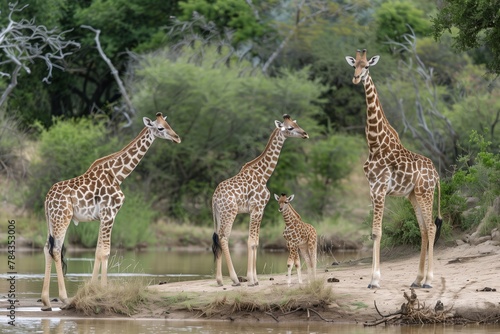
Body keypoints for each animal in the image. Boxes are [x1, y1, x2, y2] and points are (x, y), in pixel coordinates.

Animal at [40, 113, 182, 310]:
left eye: (168, 124)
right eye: (160, 128)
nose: (177, 138)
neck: (117, 174)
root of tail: (47, 199)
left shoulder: (102, 217)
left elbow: (98, 250)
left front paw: (94, 289)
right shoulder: (110, 213)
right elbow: (104, 251)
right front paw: (102, 290)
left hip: (51, 221)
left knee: (47, 248)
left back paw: (46, 301)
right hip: (62, 218)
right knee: (55, 249)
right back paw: (64, 298)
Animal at [212, 115, 308, 288]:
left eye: (296, 123)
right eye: (290, 128)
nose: (305, 134)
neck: (264, 174)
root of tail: (214, 198)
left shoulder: (259, 210)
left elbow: (256, 241)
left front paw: (255, 279)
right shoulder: (257, 208)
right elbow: (251, 241)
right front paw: (250, 279)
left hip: (219, 214)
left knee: (217, 239)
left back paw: (220, 280)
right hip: (230, 212)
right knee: (224, 237)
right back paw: (235, 280)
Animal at [346, 49, 444, 290]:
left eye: (367, 66)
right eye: (354, 66)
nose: (356, 78)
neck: (374, 143)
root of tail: (437, 175)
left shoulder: (381, 188)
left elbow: (377, 232)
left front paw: (375, 280)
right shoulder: (372, 189)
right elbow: (373, 233)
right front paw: (372, 278)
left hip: (425, 193)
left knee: (431, 228)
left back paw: (428, 281)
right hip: (414, 195)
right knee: (423, 230)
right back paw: (417, 280)